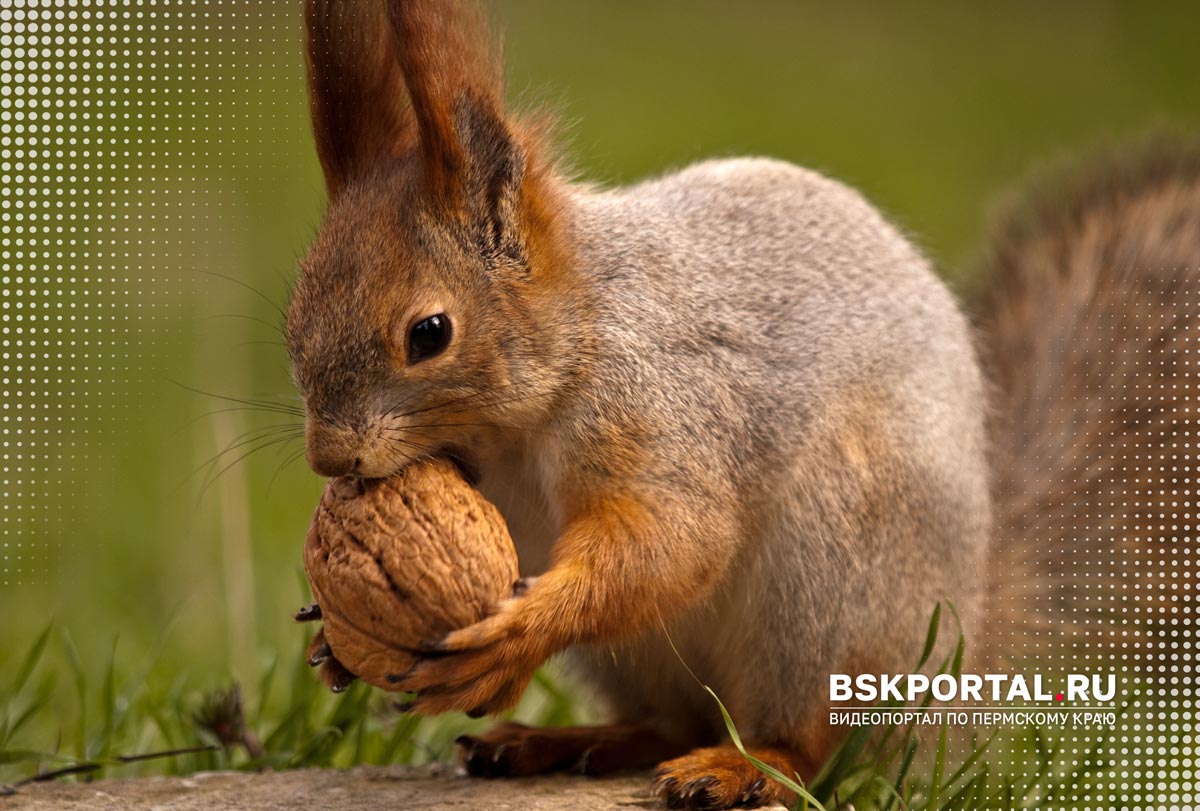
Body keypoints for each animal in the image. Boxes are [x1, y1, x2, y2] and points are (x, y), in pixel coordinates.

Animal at [287, 1, 1199, 808]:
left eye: (430, 332)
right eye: (294, 319)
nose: (329, 457)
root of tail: (965, 646)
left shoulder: (668, 407)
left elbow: (675, 540)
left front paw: (519, 633)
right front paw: (335, 639)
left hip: (834, 587)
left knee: (816, 747)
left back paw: (743, 768)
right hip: (643, 659)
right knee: (670, 723)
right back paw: (562, 742)